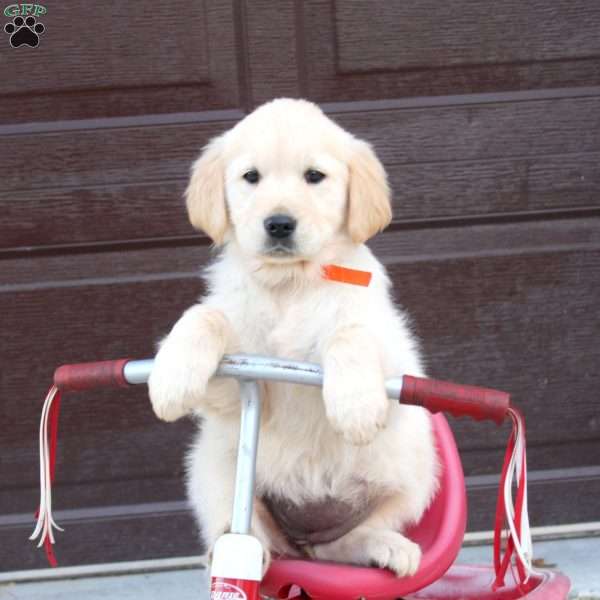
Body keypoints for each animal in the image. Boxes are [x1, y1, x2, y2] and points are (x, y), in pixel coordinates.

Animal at [148, 98, 438, 576]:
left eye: (314, 176)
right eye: (251, 177)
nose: (279, 224)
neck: (289, 285)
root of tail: (303, 533)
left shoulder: (398, 359)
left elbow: (350, 333)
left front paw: (355, 408)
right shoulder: (242, 381)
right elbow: (204, 315)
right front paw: (172, 379)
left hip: (413, 472)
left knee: (342, 543)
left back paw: (386, 546)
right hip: (213, 466)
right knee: (252, 530)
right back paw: (233, 547)